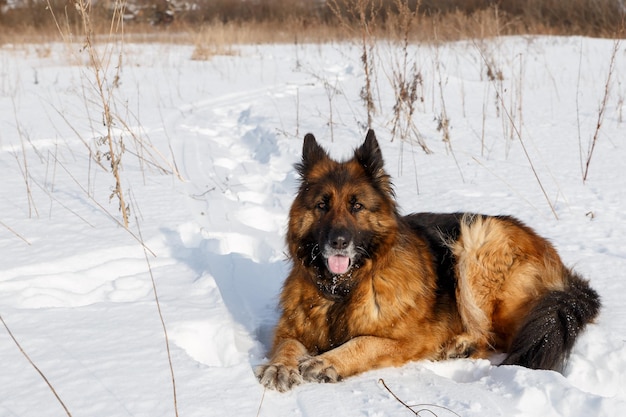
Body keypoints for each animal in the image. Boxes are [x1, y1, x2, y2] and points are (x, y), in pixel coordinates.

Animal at [255, 129, 600, 390]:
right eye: (322, 205)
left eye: (356, 206)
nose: (338, 243)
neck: (345, 288)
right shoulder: (289, 328)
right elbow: (287, 344)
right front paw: (280, 367)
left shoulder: (408, 340)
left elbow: (366, 341)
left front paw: (328, 361)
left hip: (476, 240)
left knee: (495, 337)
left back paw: (461, 345)